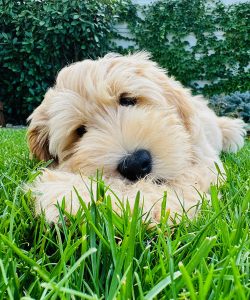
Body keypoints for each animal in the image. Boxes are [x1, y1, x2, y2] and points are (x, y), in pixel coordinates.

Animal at [27, 52, 246, 223]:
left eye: (127, 100)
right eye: (80, 132)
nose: (134, 164)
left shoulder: (204, 163)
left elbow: (182, 182)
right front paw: (68, 193)